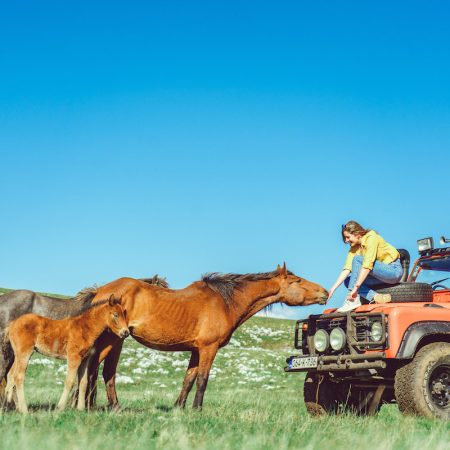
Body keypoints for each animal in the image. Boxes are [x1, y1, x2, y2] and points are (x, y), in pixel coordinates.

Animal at [86, 262, 326, 410]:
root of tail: (100, 291)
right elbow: (203, 379)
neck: (225, 302)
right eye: (297, 281)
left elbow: (188, 379)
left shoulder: (195, 350)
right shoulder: (208, 348)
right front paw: (197, 409)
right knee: (98, 370)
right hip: (113, 340)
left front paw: (178, 408)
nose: (324, 292)